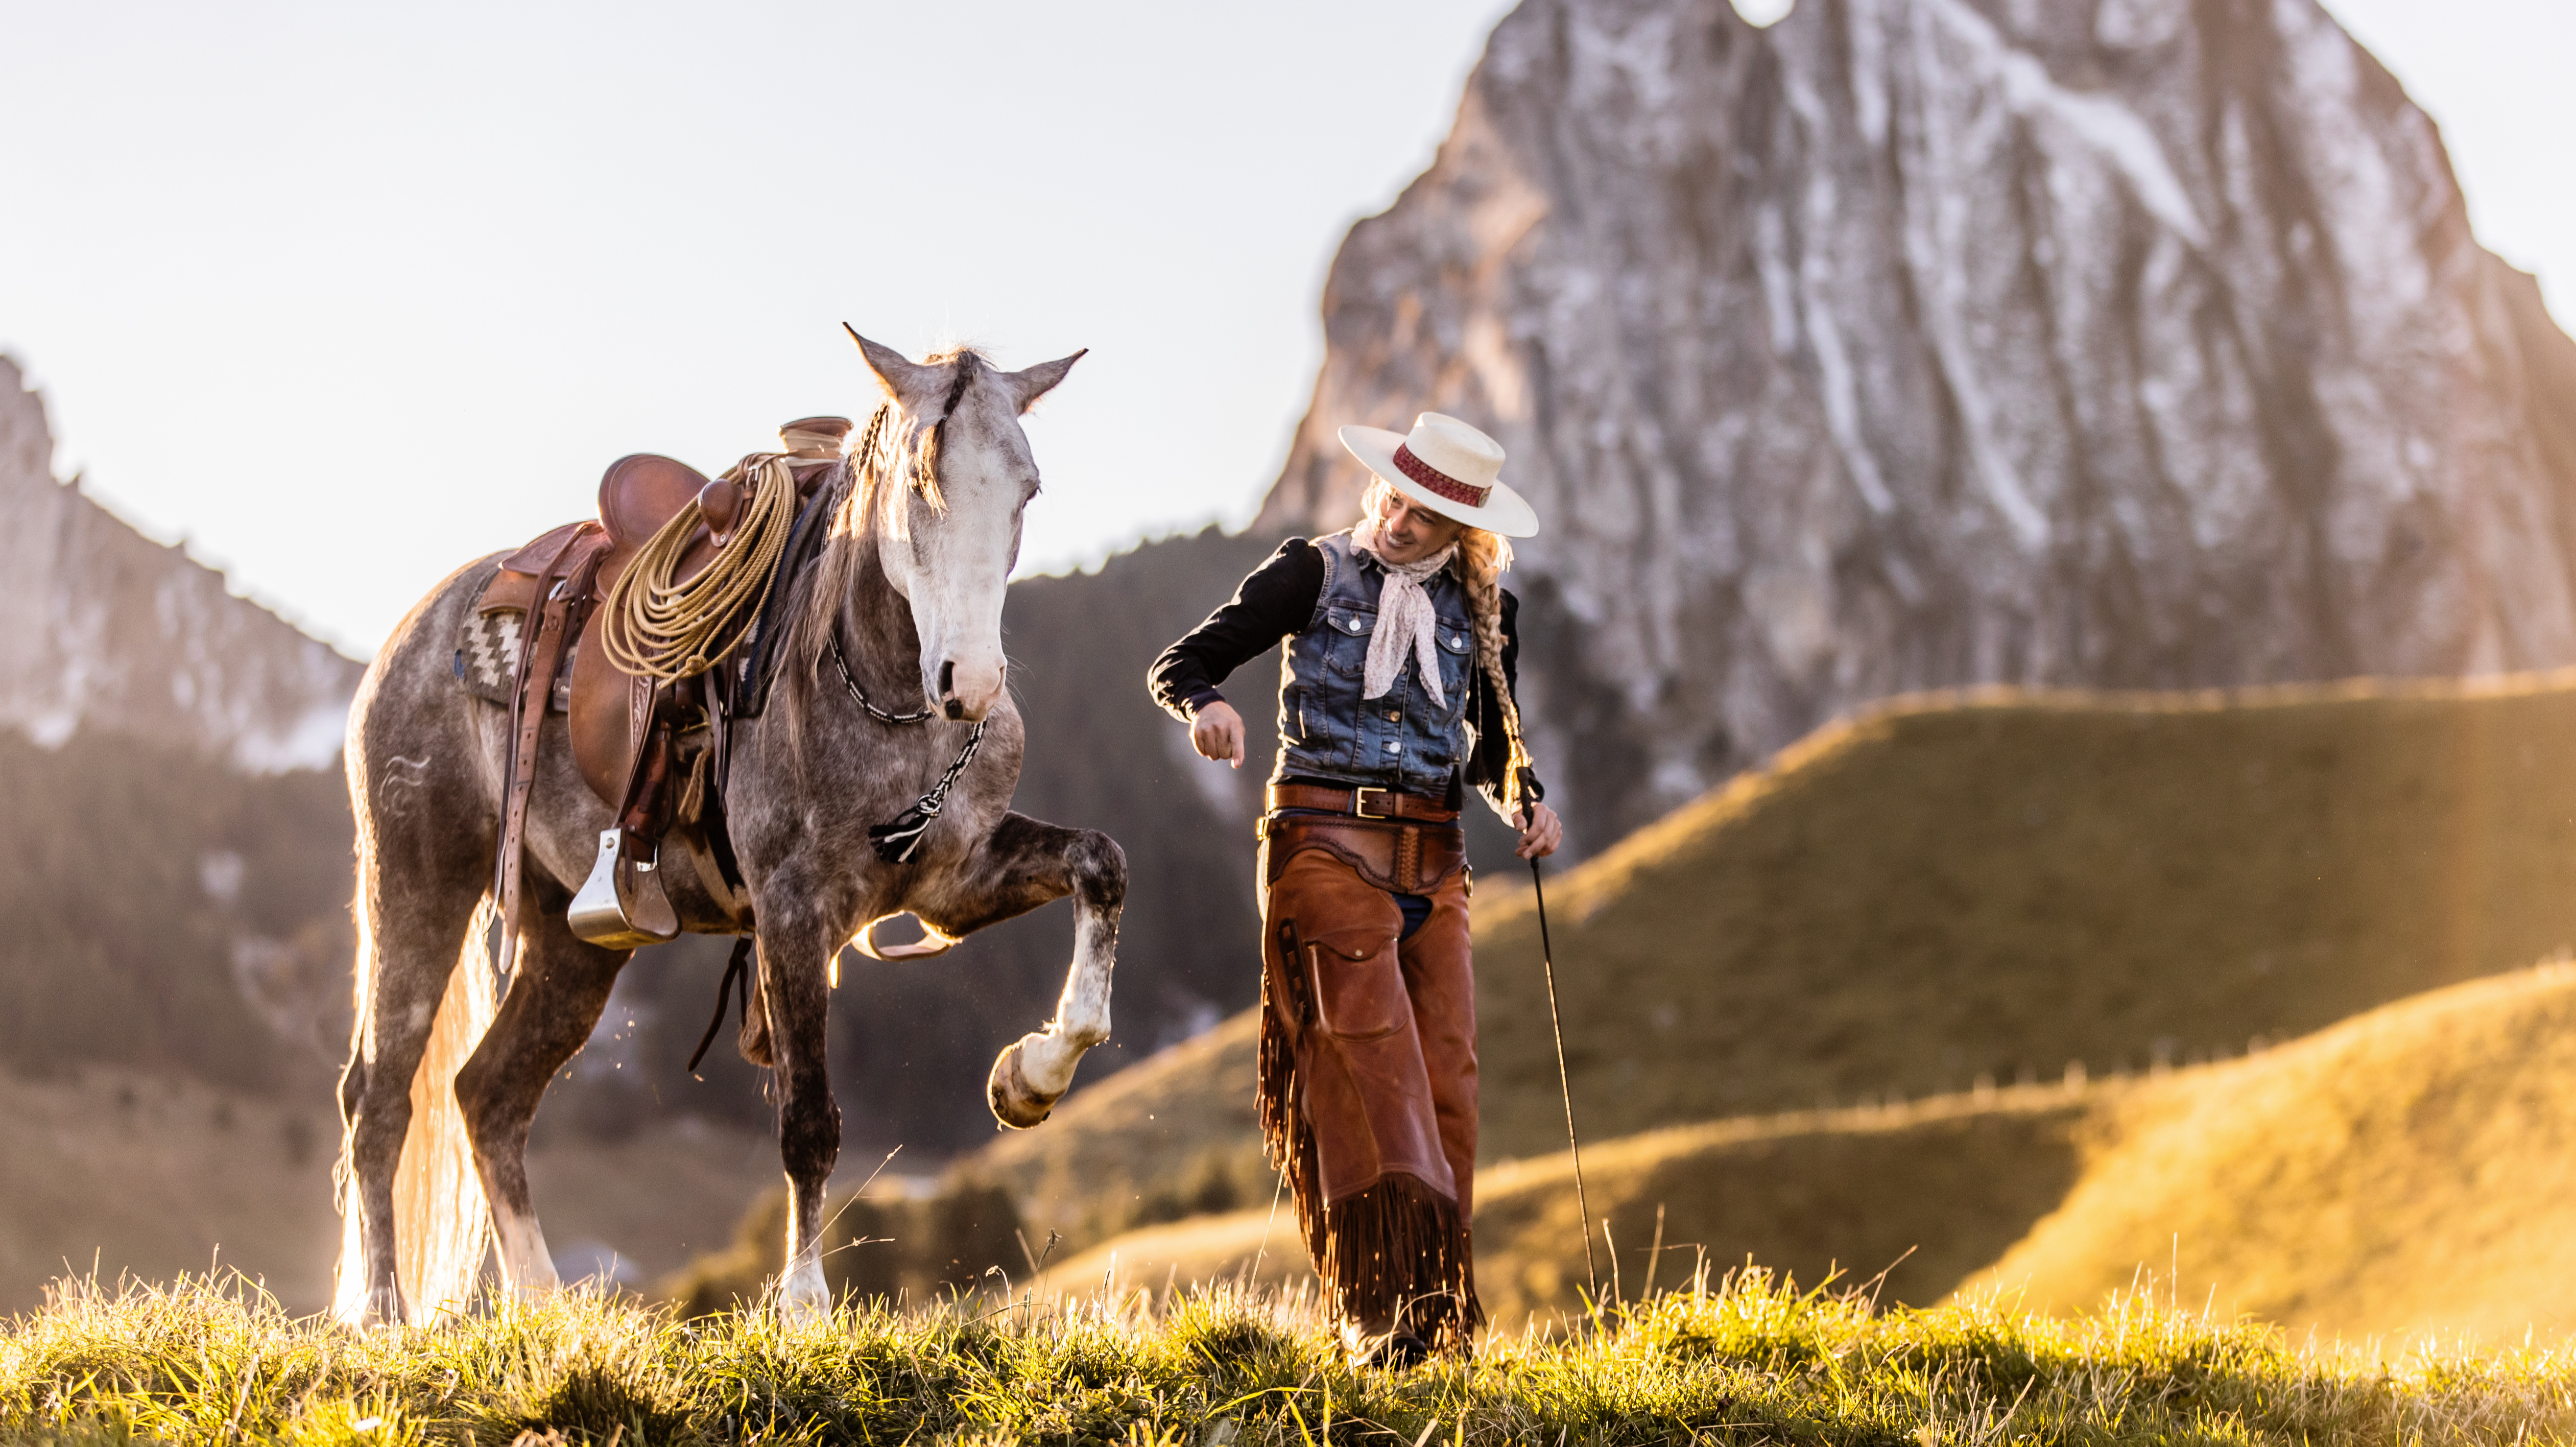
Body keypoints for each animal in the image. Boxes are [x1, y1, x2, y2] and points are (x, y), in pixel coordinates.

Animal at [329, 333, 1124, 1325]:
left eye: (1028, 487)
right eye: (918, 480)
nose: (969, 680)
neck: (885, 698)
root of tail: (417, 626)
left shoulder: (956, 880)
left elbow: (1101, 862)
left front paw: (1031, 1075)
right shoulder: (792, 910)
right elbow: (809, 1121)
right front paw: (804, 1305)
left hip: (574, 937)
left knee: (488, 1095)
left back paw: (545, 1304)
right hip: (416, 879)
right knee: (380, 1095)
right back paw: (380, 1312)